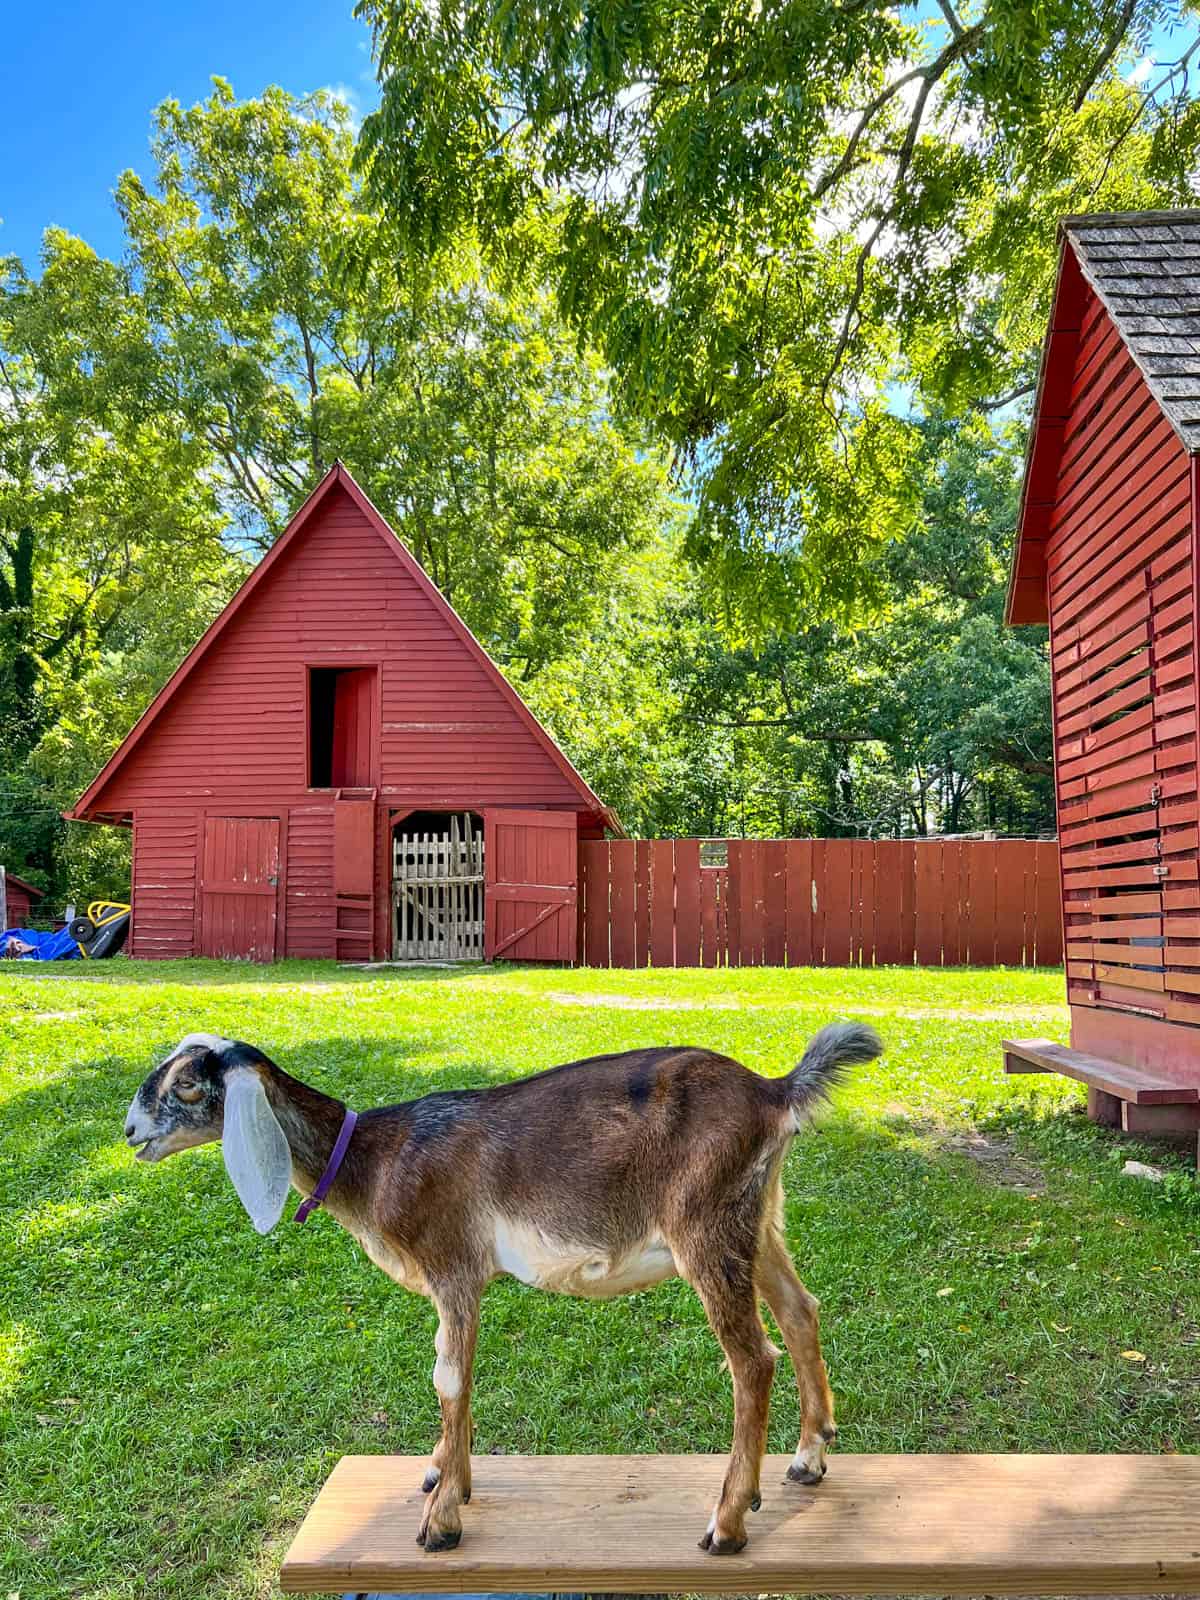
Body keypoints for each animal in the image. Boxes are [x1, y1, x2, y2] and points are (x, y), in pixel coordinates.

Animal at [124, 1017, 883, 1555]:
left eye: (187, 1083)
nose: (130, 1131)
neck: (374, 1158)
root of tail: (774, 1091)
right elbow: (449, 1379)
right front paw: (442, 1473)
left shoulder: (454, 1265)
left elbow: (449, 1378)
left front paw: (442, 1519)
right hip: (757, 1218)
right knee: (800, 1310)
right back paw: (809, 1458)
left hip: (705, 1225)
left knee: (752, 1359)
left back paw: (726, 1523)